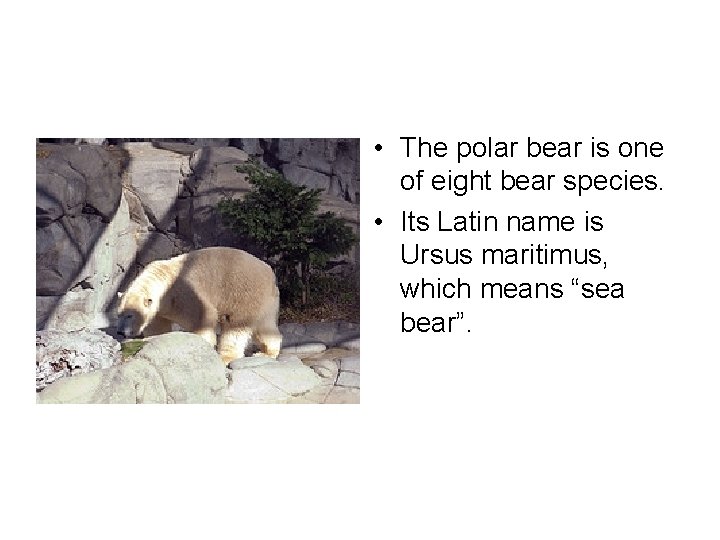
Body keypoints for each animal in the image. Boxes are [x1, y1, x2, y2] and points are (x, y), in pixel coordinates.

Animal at [116, 247, 282, 363]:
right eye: (119, 314)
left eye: (130, 315)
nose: (120, 332)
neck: (163, 278)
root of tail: (270, 273)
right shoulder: (161, 308)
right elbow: (157, 325)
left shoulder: (183, 293)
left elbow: (202, 315)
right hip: (267, 300)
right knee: (264, 326)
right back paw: (266, 352)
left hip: (243, 292)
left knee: (235, 325)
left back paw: (226, 357)